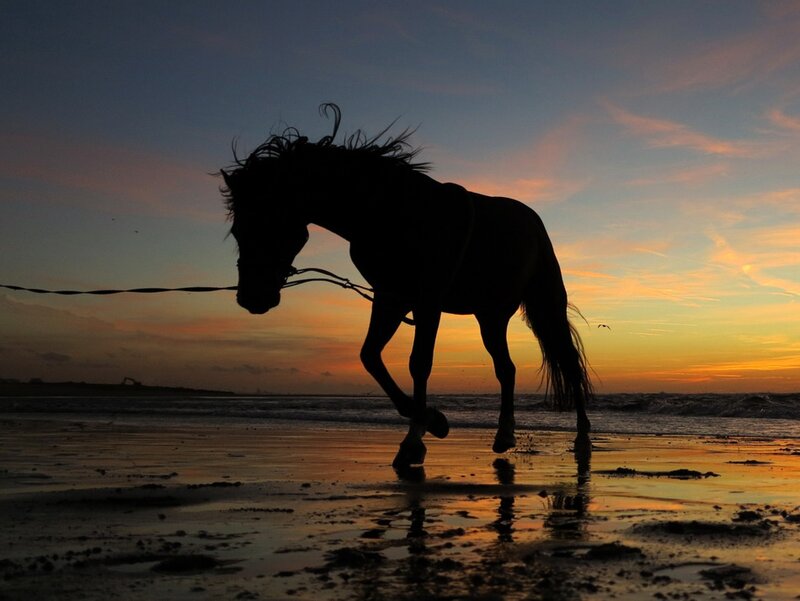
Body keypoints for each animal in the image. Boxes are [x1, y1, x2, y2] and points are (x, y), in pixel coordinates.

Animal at [221, 104, 592, 468]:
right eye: (237, 232)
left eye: (268, 224)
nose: (251, 297)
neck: (390, 211)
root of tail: (534, 222)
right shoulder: (391, 299)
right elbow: (370, 356)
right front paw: (432, 420)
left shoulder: (427, 301)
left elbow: (419, 363)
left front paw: (415, 440)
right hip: (489, 316)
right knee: (506, 369)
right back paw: (504, 435)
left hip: (543, 307)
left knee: (568, 363)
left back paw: (582, 437)